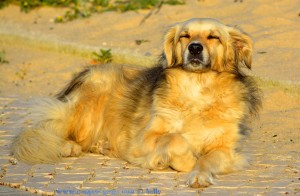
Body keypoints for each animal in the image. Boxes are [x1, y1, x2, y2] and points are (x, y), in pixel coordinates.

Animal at [11, 18, 260, 187]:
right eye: (185, 36)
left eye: (213, 37)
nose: (195, 48)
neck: (197, 91)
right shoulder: (142, 140)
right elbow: (175, 138)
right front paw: (183, 161)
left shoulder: (226, 150)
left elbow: (207, 159)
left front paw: (199, 173)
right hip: (89, 102)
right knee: (50, 129)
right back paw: (67, 145)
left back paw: (103, 145)